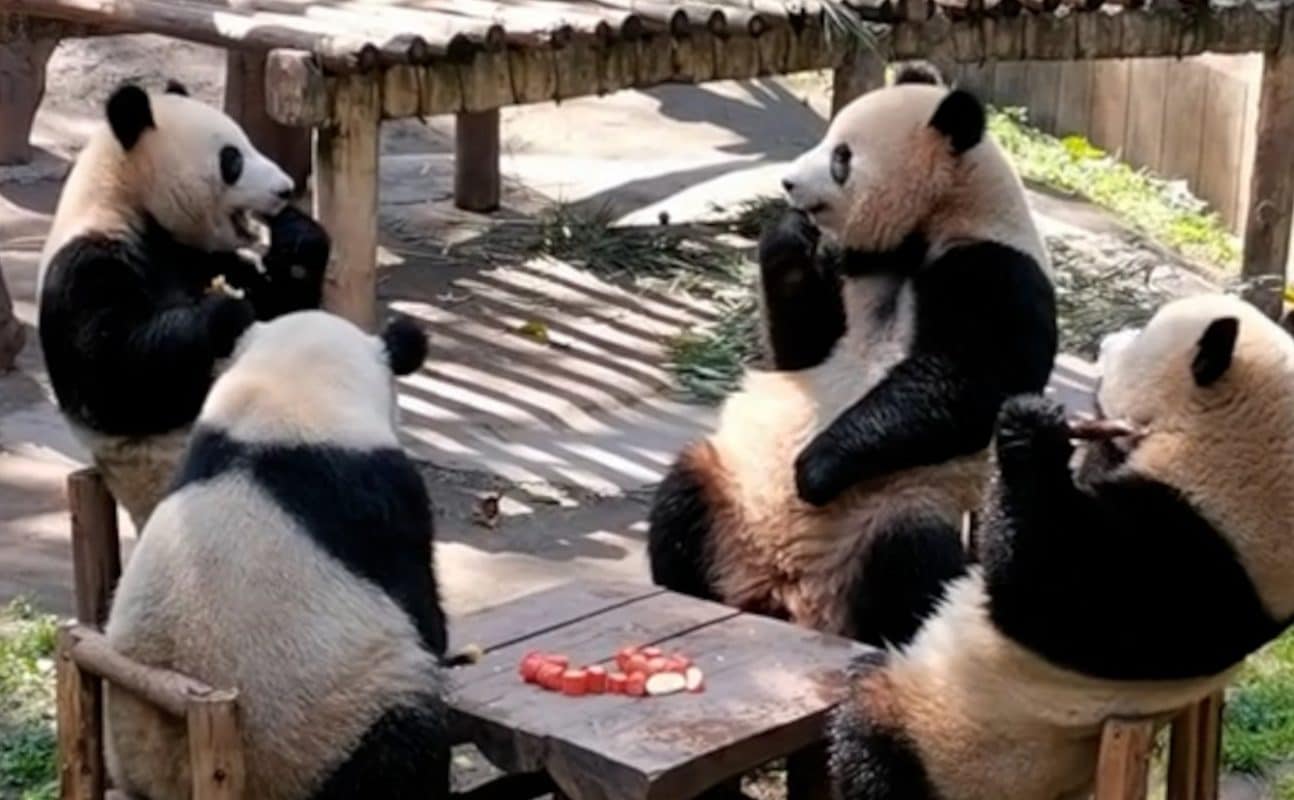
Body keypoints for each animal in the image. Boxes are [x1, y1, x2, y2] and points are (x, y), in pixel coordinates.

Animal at [37, 80, 330, 528]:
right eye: (232, 158)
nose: (284, 189)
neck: (127, 203)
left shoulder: (203, 256)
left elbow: (286, 313)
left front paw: (298, 237)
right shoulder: (83, 268)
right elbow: (113, 378)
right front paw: (222, 313)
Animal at [647, 67, 1057, 646]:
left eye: (841, 157)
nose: (788, 184)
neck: (933, 221)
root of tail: (786, 590)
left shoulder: (996, 269)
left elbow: (966, 381)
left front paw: (813, 469)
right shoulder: (847, 268)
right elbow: (800, 347)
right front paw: (786, 232)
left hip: (890, 513)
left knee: (909, 564)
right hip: (730, 484)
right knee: (681, 499)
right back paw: (692, 586)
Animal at [830, 292, 1294, 800]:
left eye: (1141, 334)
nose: (1106, 341)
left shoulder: (1194, 550)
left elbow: (1052, 583)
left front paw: (1032, 426)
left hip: (955, 743)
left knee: (874, 745)